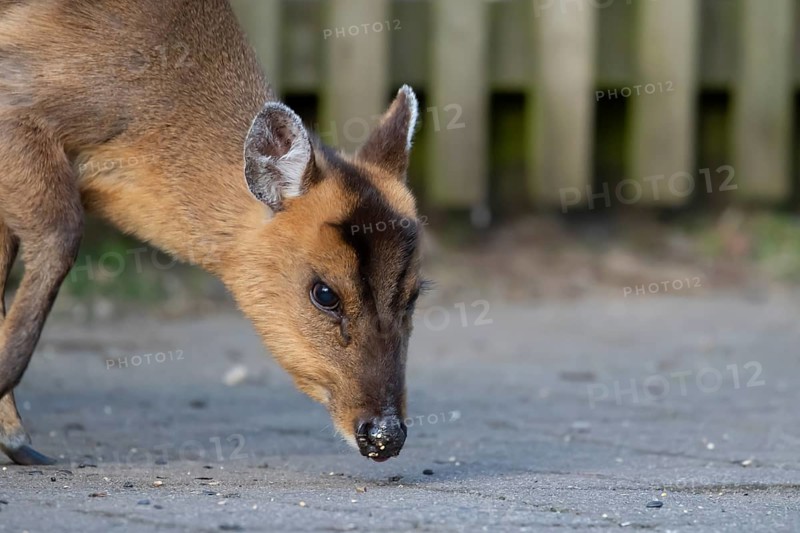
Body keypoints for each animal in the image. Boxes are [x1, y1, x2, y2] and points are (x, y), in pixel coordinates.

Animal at [0, 0, 424, 465]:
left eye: (414, 294)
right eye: (325, 293)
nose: (386, 434)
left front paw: (14, 438)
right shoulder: (15, 104)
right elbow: (60, 233)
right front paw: (17, 438)